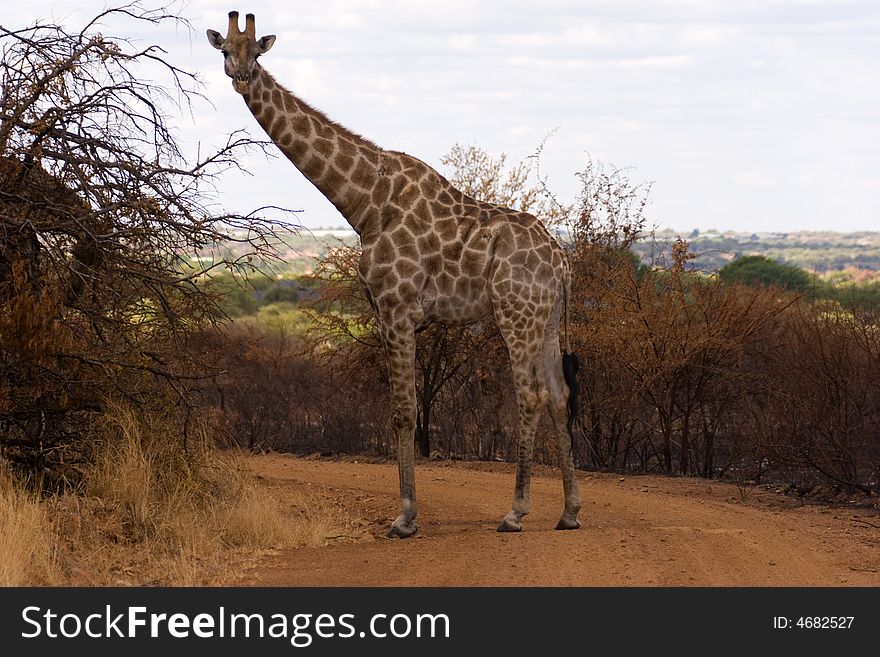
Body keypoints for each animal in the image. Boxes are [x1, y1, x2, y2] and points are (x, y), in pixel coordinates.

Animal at [209, 11, 580, 540]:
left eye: (256, 52)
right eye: (225, 50)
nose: (241, 77)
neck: (365, 202)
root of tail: (562, 261)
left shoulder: (397, 307)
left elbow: (404, 411)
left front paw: (404, 518)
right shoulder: (387, 309)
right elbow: (401, 409)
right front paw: (407, 513)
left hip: (517, 313)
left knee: (530, 395)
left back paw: (515, 512)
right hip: (546, 318)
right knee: (559, 395)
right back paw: (569, 511)